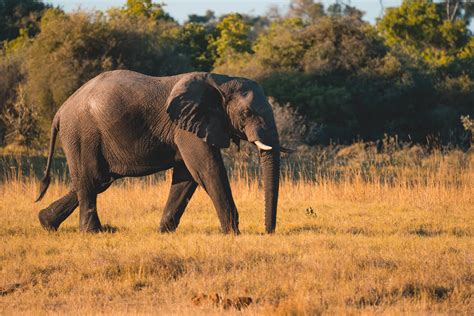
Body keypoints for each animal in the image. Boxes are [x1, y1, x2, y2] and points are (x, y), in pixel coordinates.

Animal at [35, 71, 286, 235]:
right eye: (246, 114)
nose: (268, 232)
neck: (220, 81)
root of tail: (60, 111)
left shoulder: (188, 125)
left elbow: (187, 176)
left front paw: (164, 232)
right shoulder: (186, 127)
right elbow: (207, 169)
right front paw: (232, 233)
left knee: (98, 180)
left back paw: (46, 223)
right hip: (81, 134)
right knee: (91, 178)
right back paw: (94, 232)